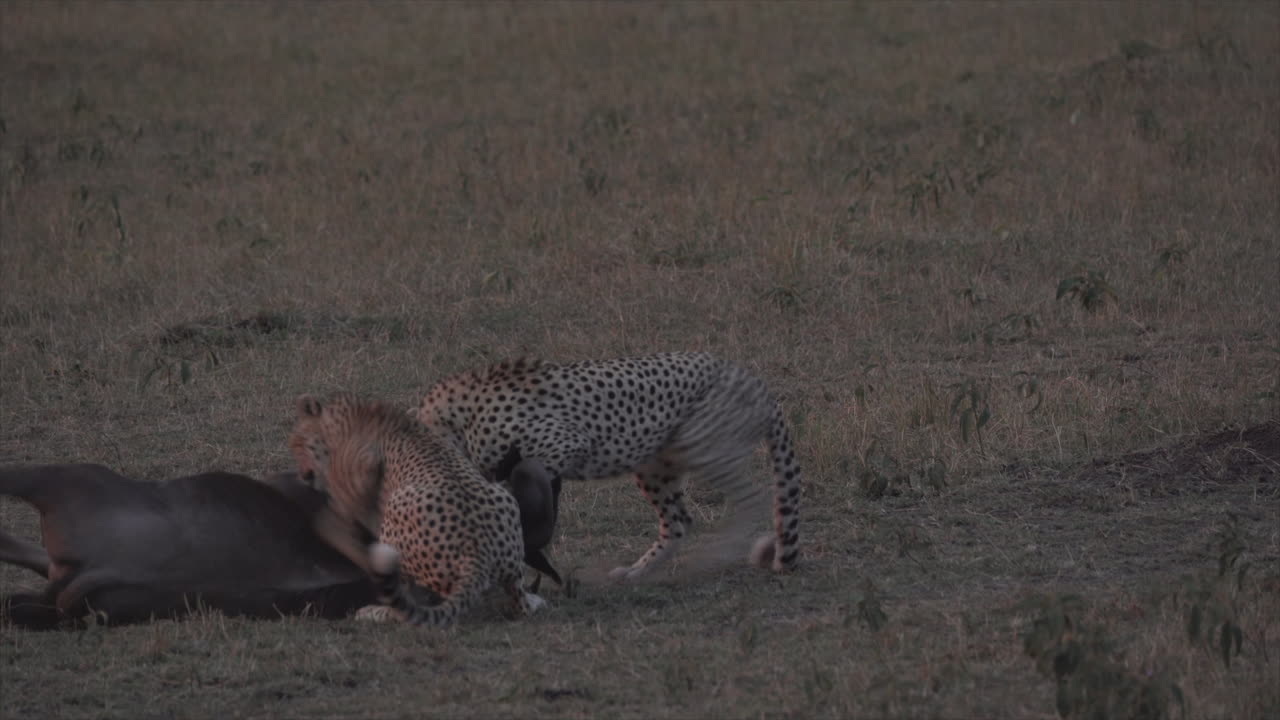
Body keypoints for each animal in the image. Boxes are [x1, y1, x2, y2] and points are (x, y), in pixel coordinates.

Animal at [289, 392, 545, 626]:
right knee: (520, 603)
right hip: (504, 500)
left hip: (396, 509)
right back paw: (534, 600)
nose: (302, 475)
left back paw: (375, 611)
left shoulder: (361, 477)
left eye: (296, 443)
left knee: (403, 603)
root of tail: (478, 554)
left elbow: (341, 527)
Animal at [411, 351, 801, 581]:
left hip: (704, 445)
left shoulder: (564, 445)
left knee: (754, 498)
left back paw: (717, 554)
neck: (456, 421)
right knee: (679, 523)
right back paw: (636, 571)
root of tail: (754, 380)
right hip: (653, 465)